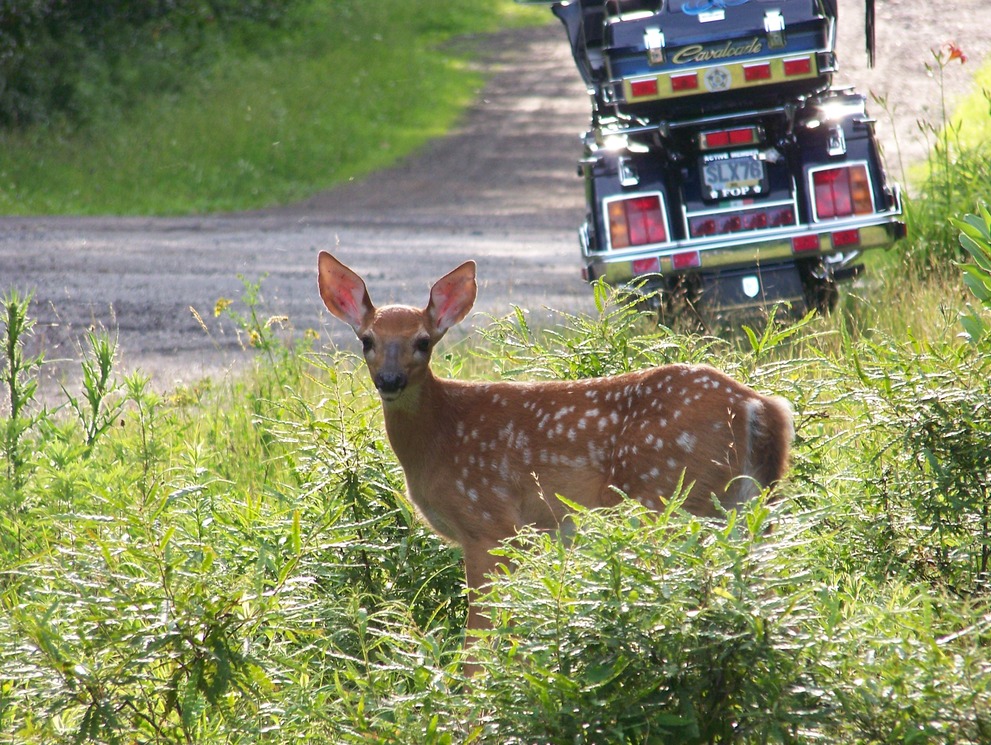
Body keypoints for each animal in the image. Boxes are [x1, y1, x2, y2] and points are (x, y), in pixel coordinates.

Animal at [320, 248, 800, 668]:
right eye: (367, 340)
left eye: (422, 342)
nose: (390, 380)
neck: (442, 435)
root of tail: (761, 407)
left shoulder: (490, 522)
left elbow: (480, 639)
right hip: (748, 503)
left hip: (670, 495)